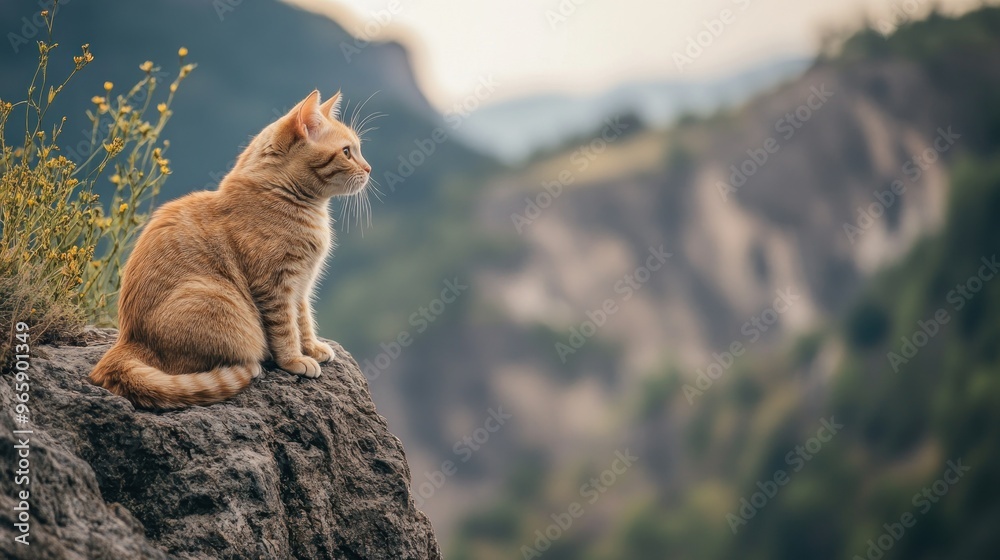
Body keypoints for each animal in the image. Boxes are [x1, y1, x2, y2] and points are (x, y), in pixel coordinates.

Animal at [89, 91, 372, 406]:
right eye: (347, 152)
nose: (369, 169)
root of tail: (126, 341)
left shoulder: (301, 285)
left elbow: (304, 319)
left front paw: (311, 347)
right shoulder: (275, 286)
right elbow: (286, 328)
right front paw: (294, 360)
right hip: (216, 297)